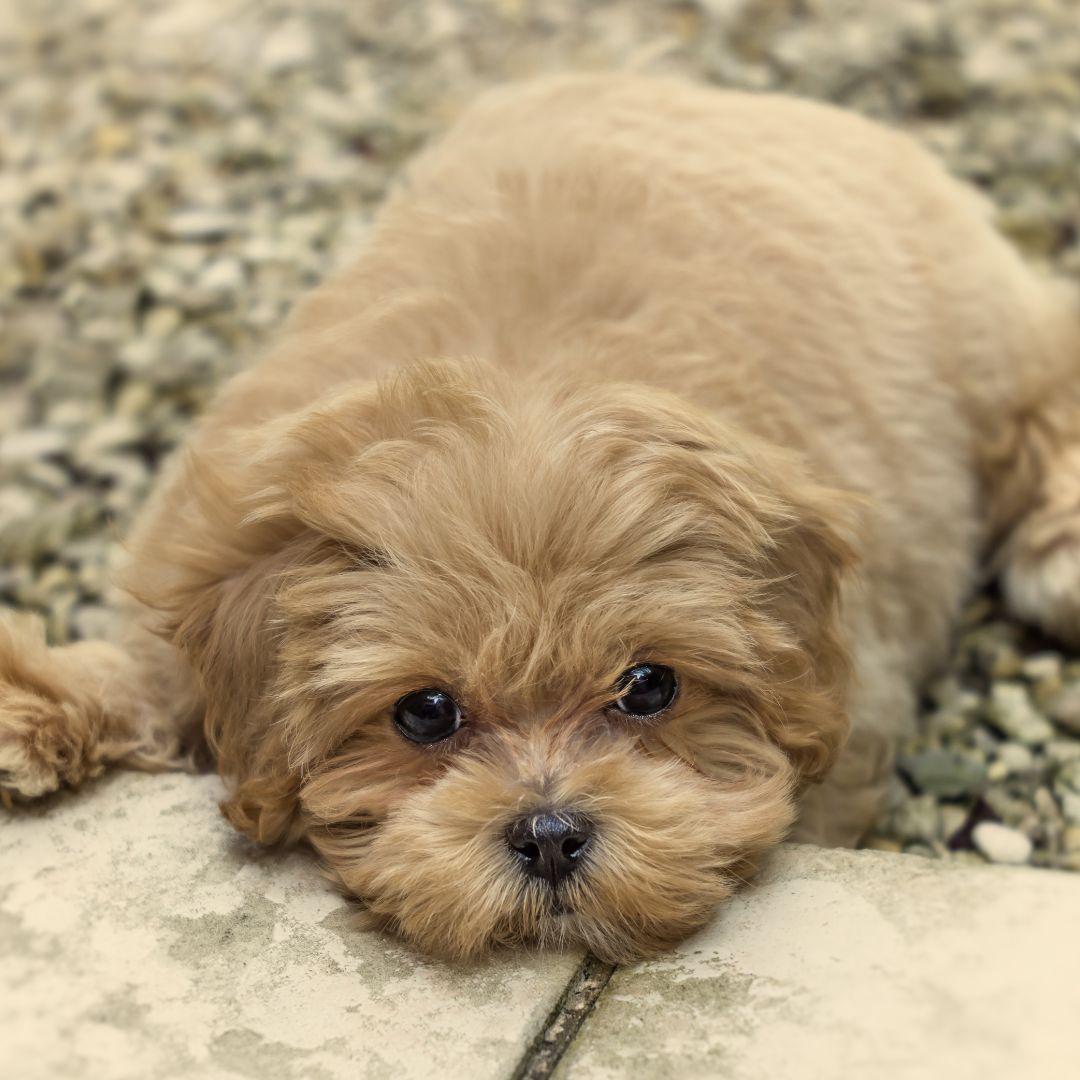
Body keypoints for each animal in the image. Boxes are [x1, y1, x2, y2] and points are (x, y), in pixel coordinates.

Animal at [2, 71, 1080, 959]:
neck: (522, 390)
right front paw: (36, 706)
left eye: (650, 687)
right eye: (425, 711)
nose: (552, 834)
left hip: (983, 334)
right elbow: (147, 670)